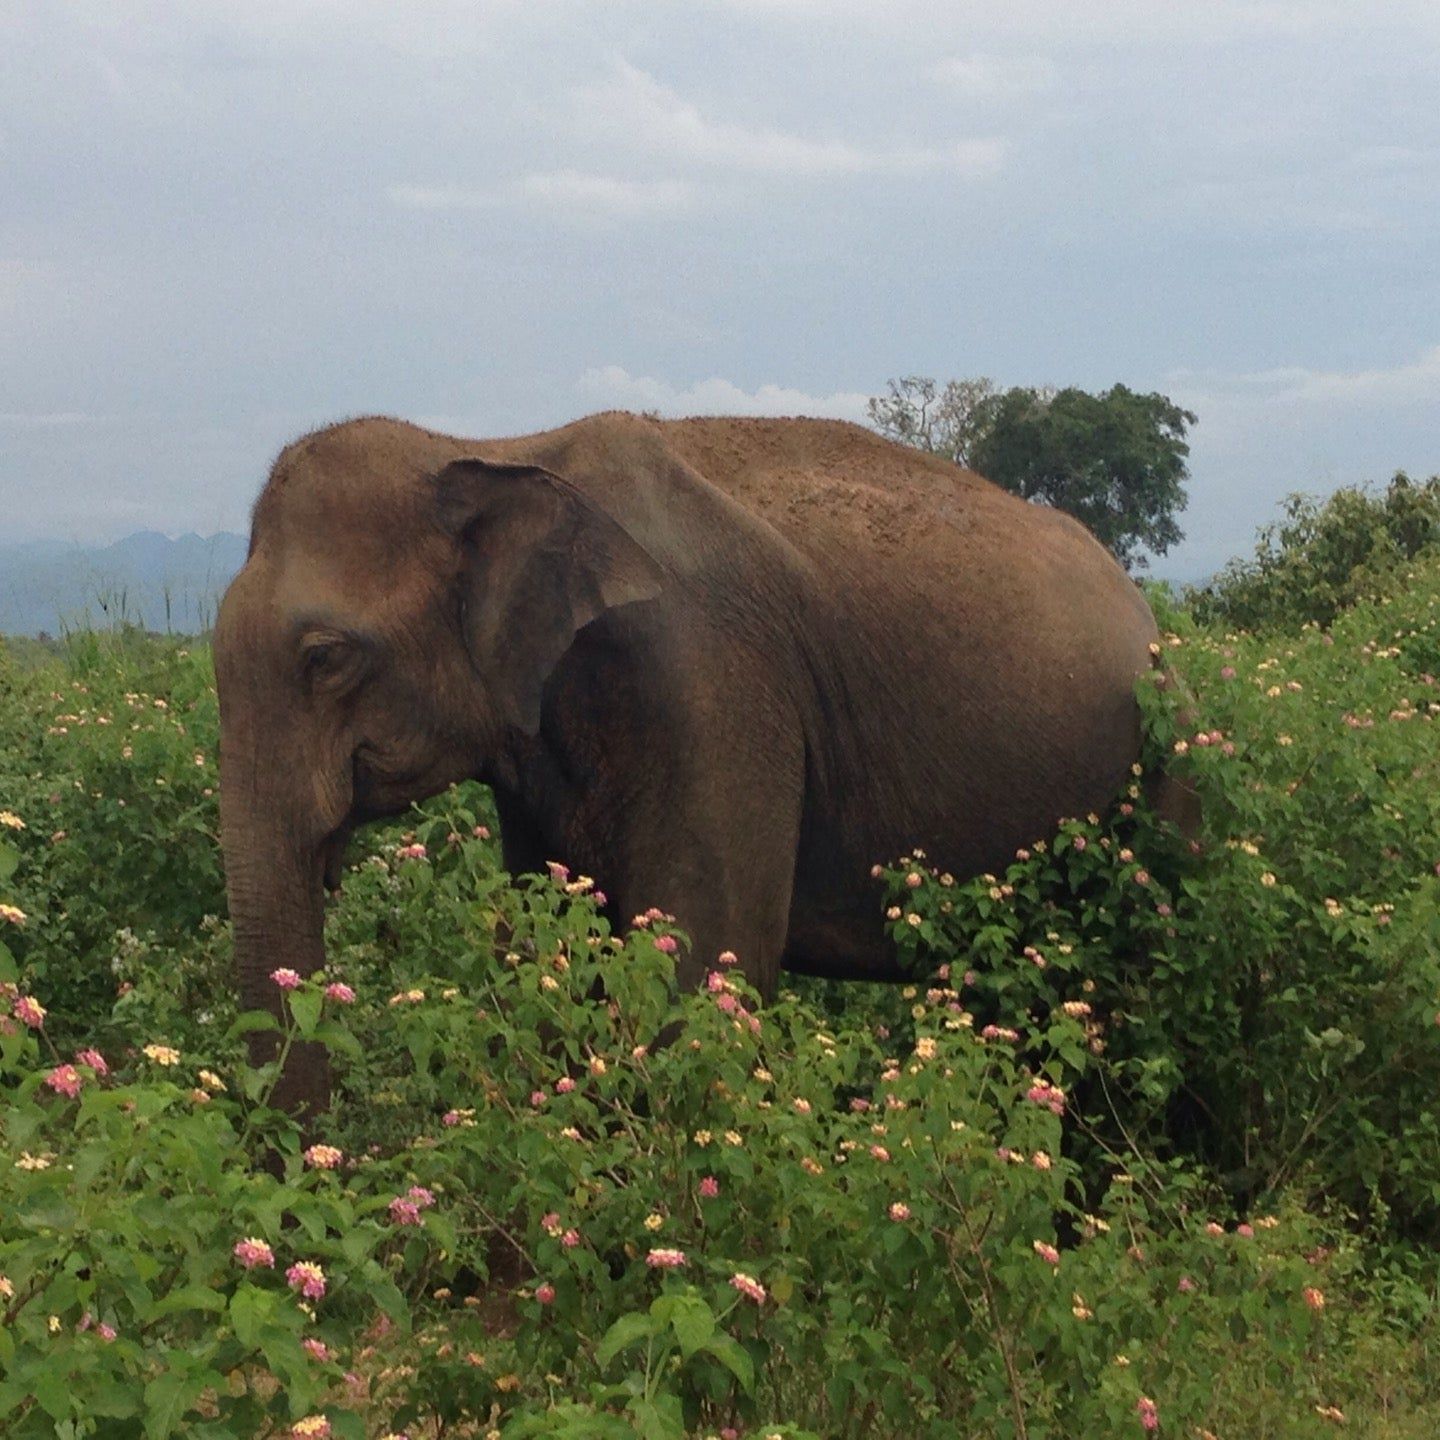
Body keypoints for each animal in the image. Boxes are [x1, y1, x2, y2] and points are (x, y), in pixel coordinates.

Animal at [216, 411, 1180, 1117]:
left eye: (326, 658)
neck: (497, 448)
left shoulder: (712, 684)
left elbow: (701, 968)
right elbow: (551, 952)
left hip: (1161, 773)